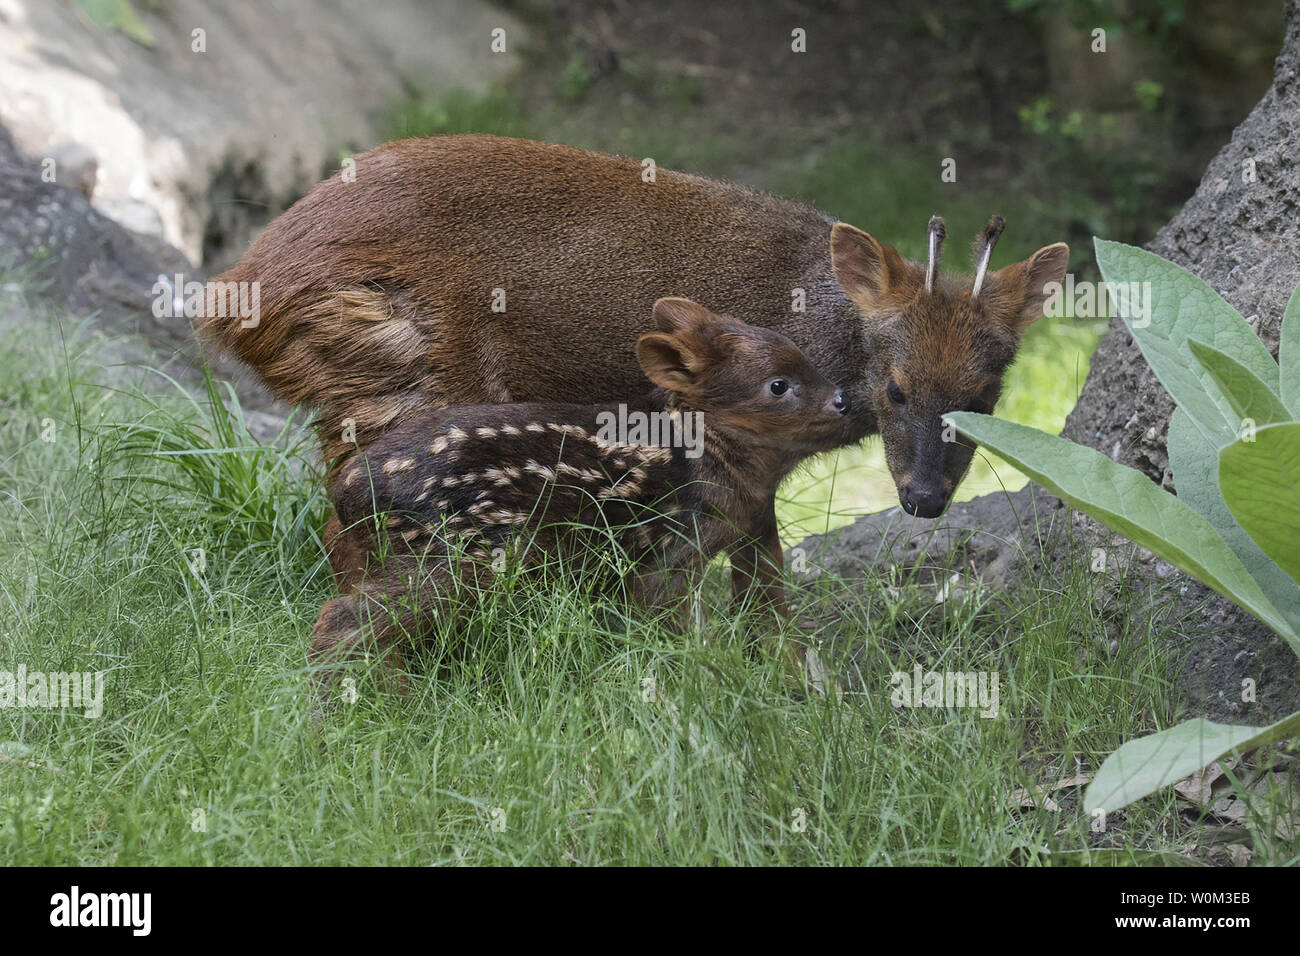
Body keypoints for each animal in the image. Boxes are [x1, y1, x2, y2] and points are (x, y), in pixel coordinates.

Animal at [309, 299, 847, 702]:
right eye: (778, 385)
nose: (843, 400)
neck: (702, 455)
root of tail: (349, 491)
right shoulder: (668, 553)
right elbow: (673, 630)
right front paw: (696, 684)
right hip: (458, 551)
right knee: (343, 619)